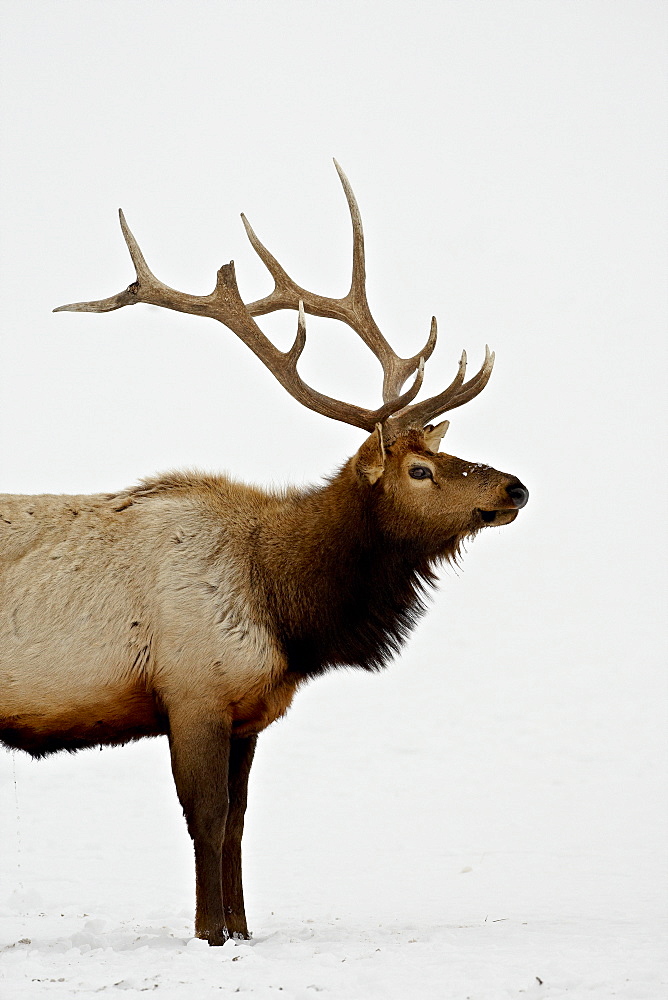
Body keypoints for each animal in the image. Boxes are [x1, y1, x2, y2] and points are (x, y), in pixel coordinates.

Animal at [2, 164, 528, 944]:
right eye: (420, 470)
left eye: (443, 452)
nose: (516, 486)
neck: (288, 610)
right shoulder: (192, 692)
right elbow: (207, 820)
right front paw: (209, 933)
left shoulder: (246, 712)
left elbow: (240, 826)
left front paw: (244, 931)